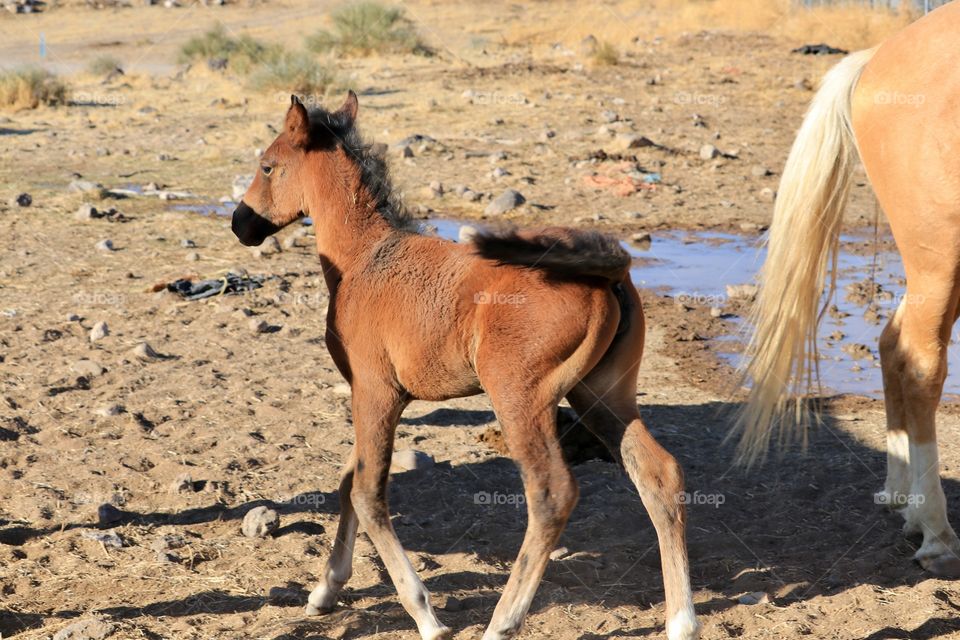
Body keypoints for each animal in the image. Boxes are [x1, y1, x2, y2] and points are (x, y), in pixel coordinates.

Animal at [230, 94, 700, 640]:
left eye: (267, 166)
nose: (240, 223)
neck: (365, 258)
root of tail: (608, 270)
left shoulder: (375, 391)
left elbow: (367, 493)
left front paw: (425, 615)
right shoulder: (373, 397)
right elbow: (348, 480)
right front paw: (326, 590)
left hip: (520, 397)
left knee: (551, 494)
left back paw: (502, 622)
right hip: (601, 394)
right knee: (659, 474)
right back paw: (681, 620)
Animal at [740, 1, 960, 576]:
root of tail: (878, 57)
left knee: (891, 343)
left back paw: (904, 499)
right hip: (939, 257)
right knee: (921, 364)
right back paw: (935, 533)